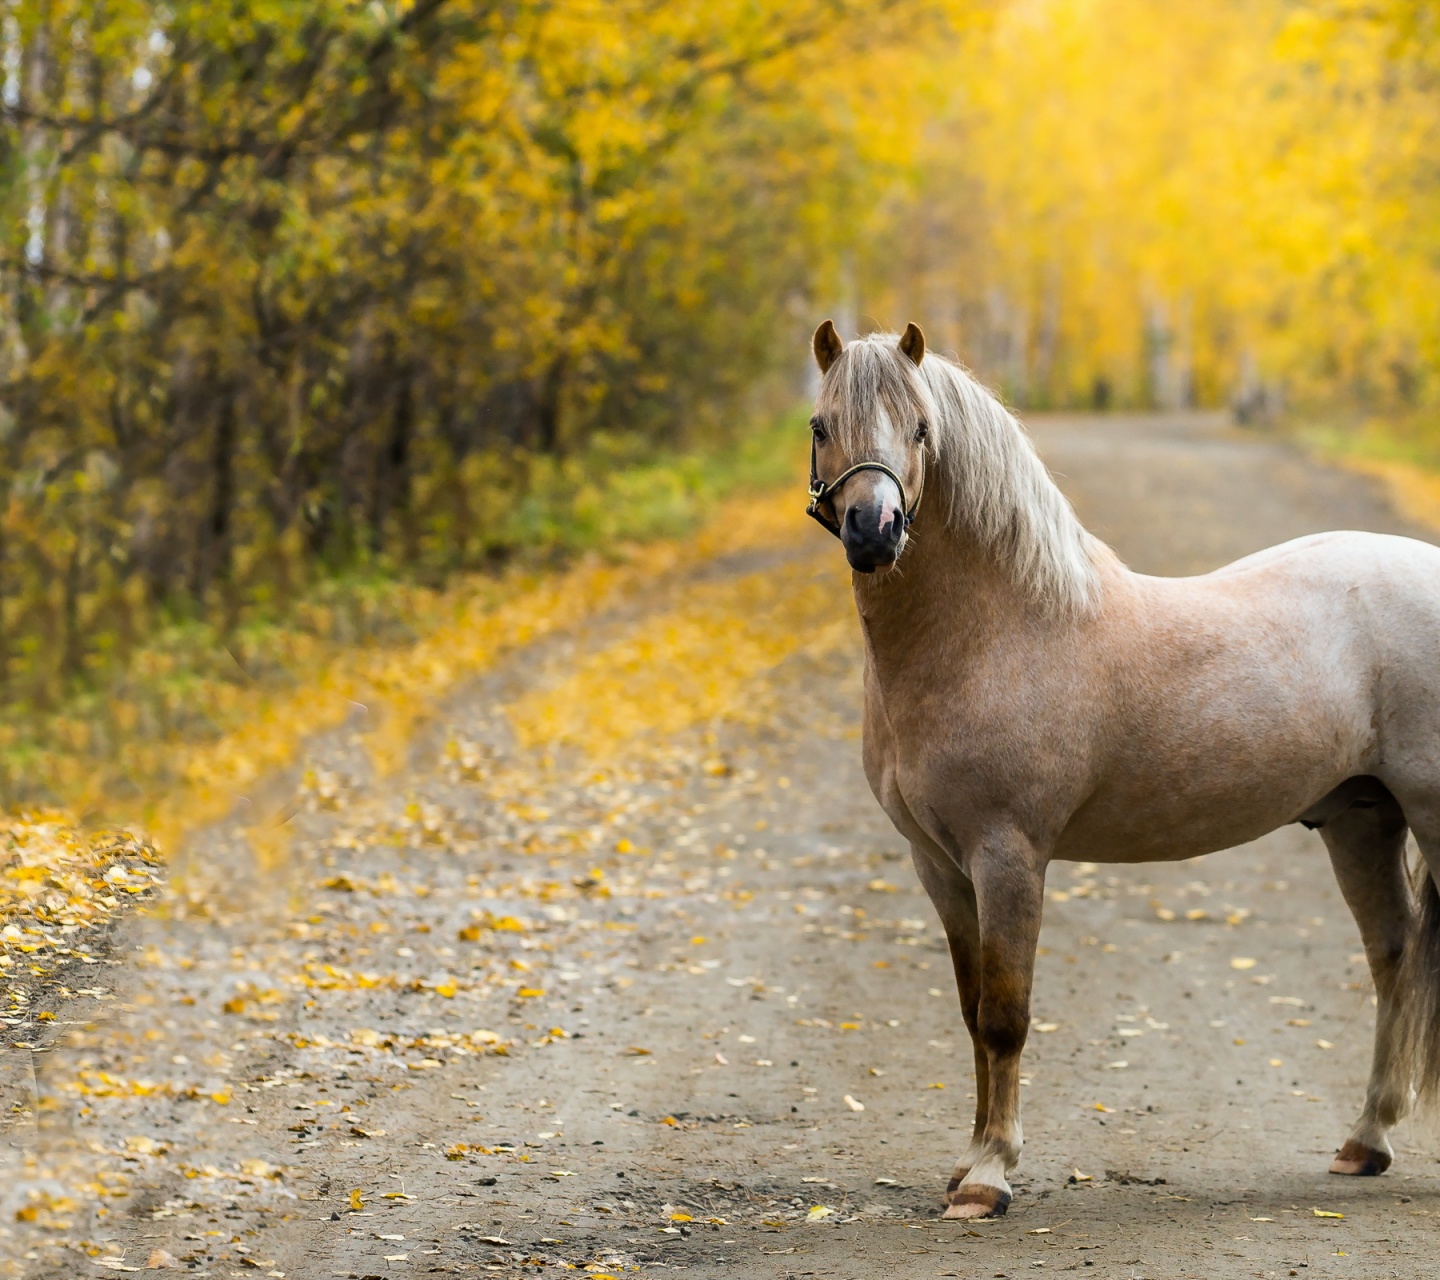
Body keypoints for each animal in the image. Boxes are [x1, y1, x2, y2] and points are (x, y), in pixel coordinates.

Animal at [806, 319, 1440, 1220]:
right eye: (822, 425)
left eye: (921, 429)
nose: (874, 530)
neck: (998, 631)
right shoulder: (938, 865)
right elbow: (970, 1011)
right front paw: (966, 1166)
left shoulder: (1008, 856)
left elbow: (1005, 1015)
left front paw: (991, 1176)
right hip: (1361, 820)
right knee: (1392, 954)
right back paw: (1365, 1141)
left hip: (1426, 811)